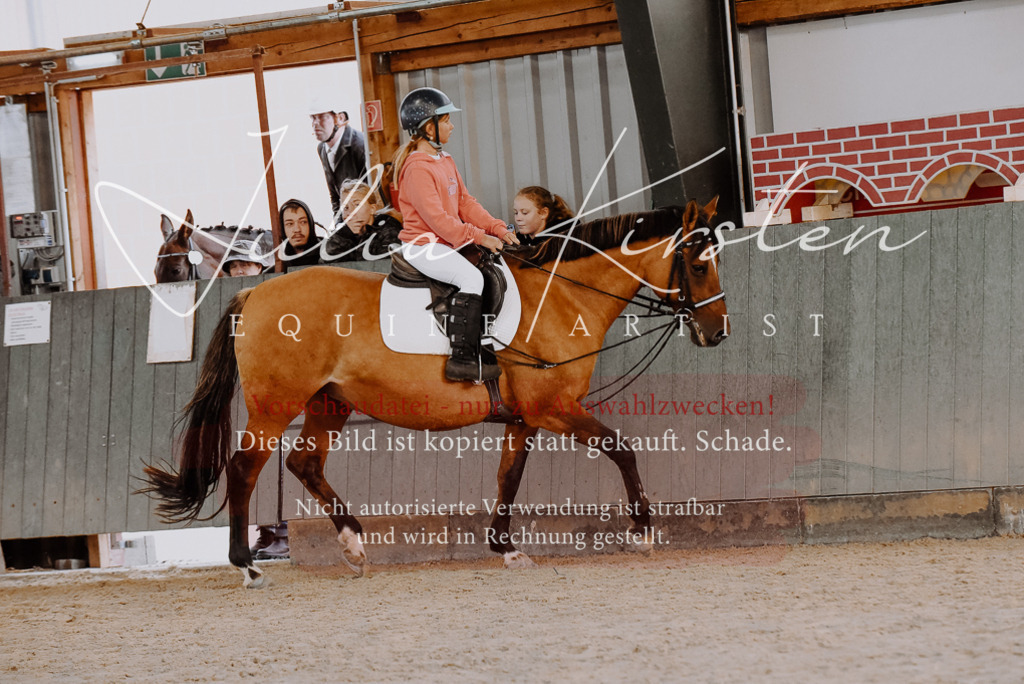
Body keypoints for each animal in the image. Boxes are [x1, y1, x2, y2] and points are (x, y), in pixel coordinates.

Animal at [142, 198, 727, 588]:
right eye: (699, 266)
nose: (717, 333)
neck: (561, 297)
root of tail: (254, 293)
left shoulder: (525, 418)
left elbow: (509, 477)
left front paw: (505, 548)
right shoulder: (555, 408)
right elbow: (621, 449)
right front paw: (643, 533)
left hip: (329, 402)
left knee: (304, 464)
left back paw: (354, 545)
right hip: (275, 406)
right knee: (245, 469)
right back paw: (246, 564)